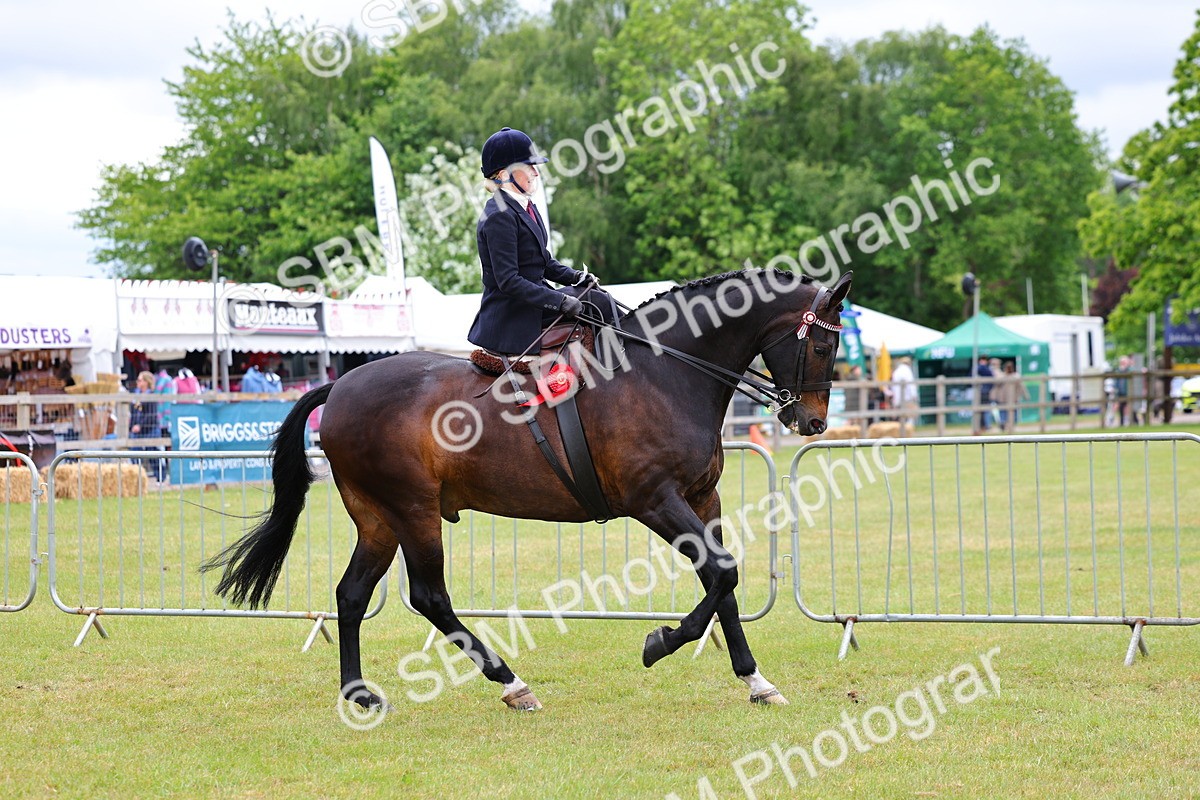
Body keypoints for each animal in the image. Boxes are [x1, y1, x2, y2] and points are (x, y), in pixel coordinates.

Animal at [203, 268, 852, 711]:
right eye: (823, 345)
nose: (813, 422)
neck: (663, 372)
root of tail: (338, 388)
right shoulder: (655, 501)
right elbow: (721, 574)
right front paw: (660, 642)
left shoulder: (701, 499)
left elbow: (725, 582)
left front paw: (756, 680)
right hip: (413, 512)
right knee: (429, 597)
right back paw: (511, 683)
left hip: (378, 518)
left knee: (352, 594)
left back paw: (358, 692)